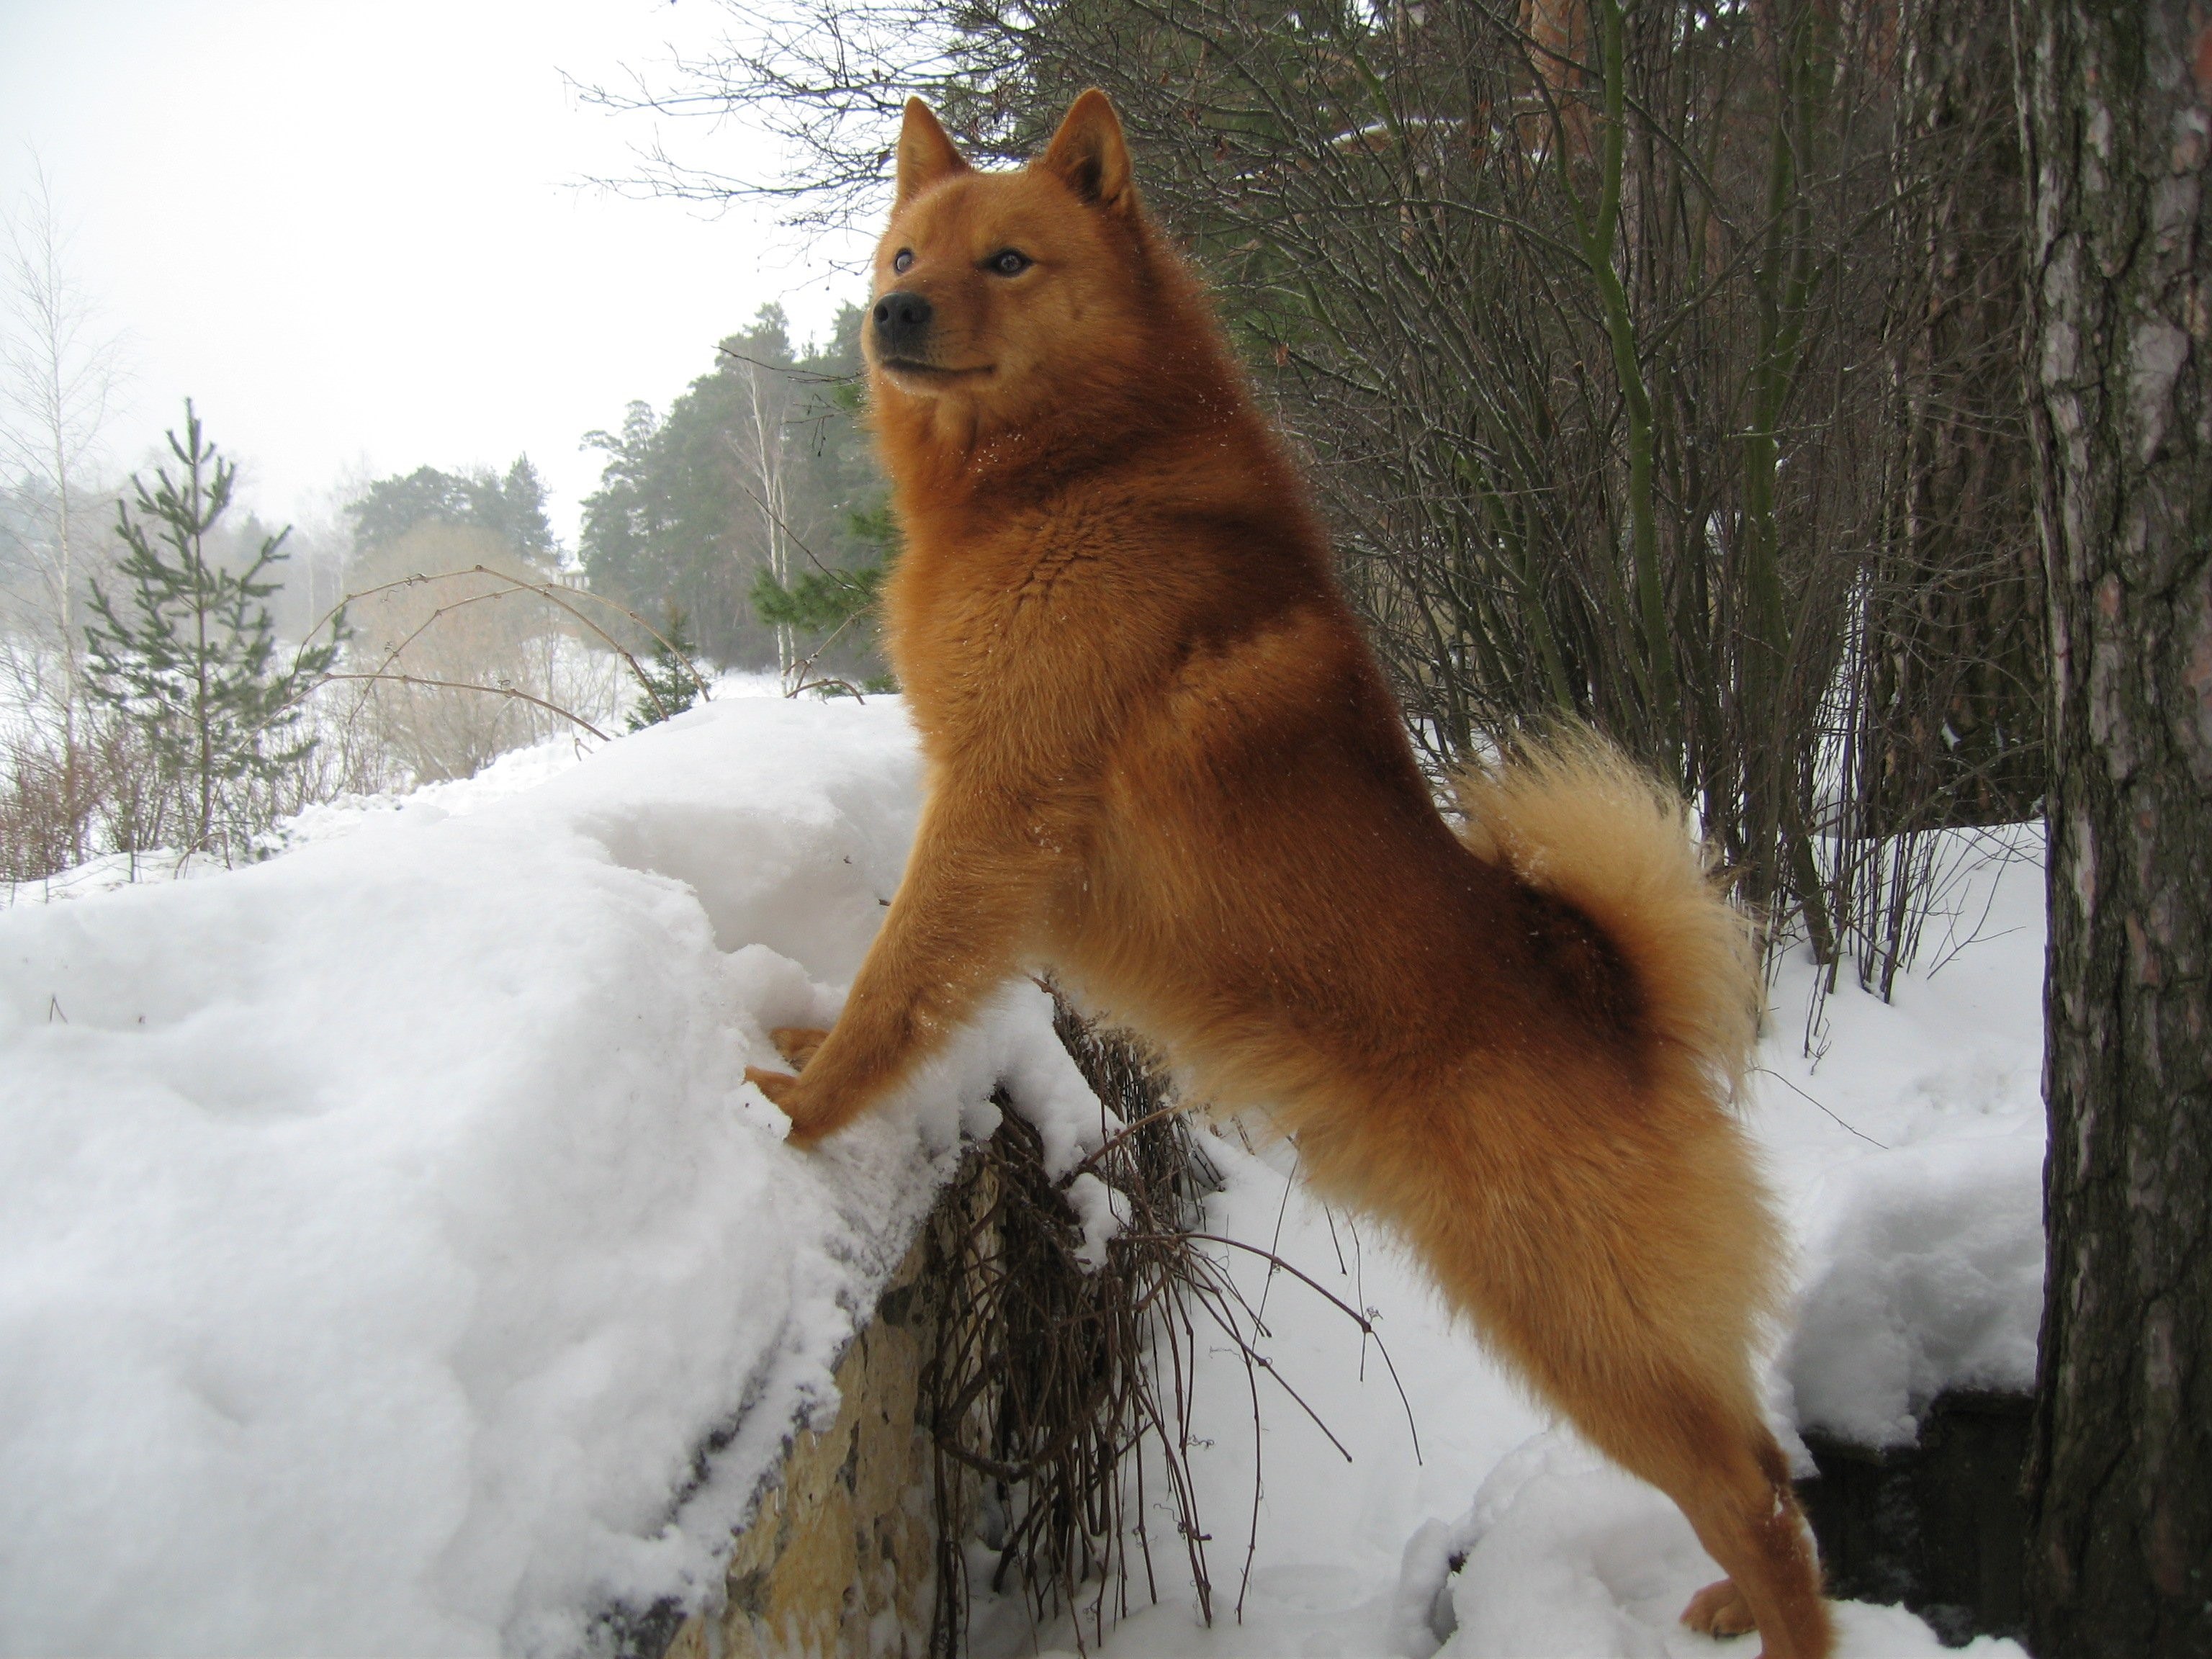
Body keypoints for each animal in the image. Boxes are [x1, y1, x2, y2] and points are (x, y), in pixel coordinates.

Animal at [752, 94, 1840, 1659]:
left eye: (1008, 259)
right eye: (904, 254)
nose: (891, 312)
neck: (1074, 476)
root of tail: (1616, 1006)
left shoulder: (993, 814)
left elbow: (904, 978)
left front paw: (802, 1106)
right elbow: (898, 977)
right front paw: (799, 1041)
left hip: (1584, 1334)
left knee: (1756, 1495)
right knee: (1757, 1476)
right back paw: (1725, 1604)